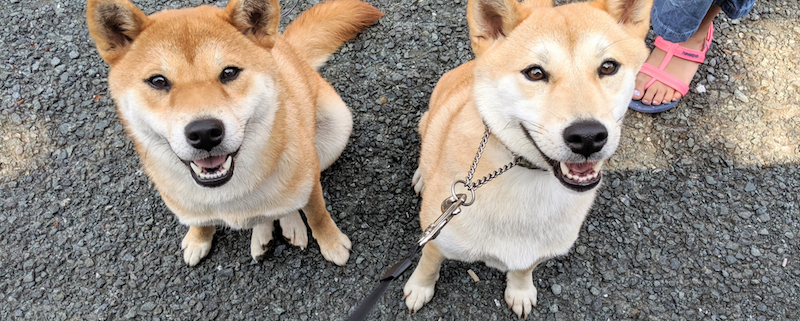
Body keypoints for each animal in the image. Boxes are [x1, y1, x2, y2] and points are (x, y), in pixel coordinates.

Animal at [87, 0, 384, 264]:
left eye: (229, 72)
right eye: (158, 81)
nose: (204, 132)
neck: (227, 191)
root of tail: (288, 49)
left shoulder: (310, 181)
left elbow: (317, 214)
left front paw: (331, 241)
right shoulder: (188, 204)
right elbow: (200, 221)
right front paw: (198, 238)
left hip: (335, 131)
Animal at [404, 0, 652, 316]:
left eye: (608, 67)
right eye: (535, 73)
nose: (588, 136)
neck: (526, 176)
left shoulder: (537, 251)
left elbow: (523, 270)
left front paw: (520, 292)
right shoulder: (437, 235)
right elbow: (428, 263)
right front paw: (419, 288)